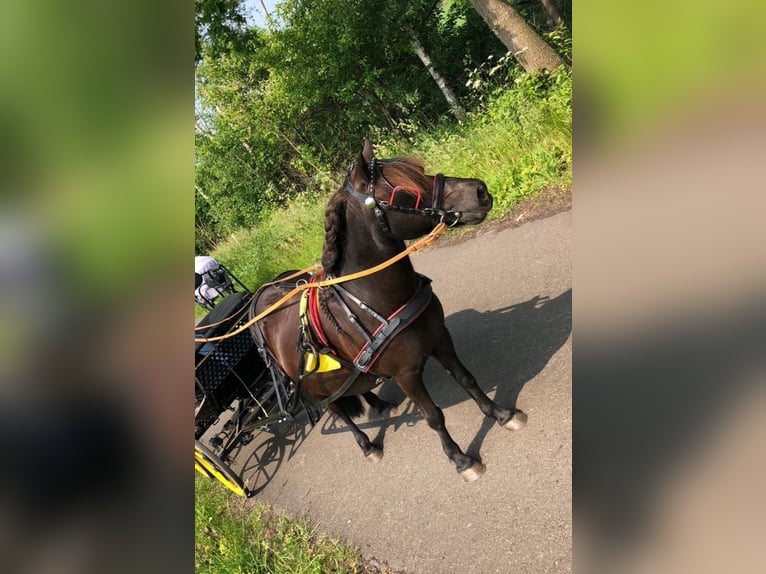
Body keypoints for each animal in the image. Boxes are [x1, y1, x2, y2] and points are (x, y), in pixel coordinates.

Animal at [252, 140, 528, 482]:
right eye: (403, 190)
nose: (479, 190)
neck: (375, 299)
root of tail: (261, 300)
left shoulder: (440, 339)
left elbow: (467, 379)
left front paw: (501, 413)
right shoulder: (405, 373)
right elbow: (433, 416)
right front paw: (460, 459)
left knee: (354, 382)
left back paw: (378, 402)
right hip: (311, 384)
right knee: (337, 410)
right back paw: (367, 445)